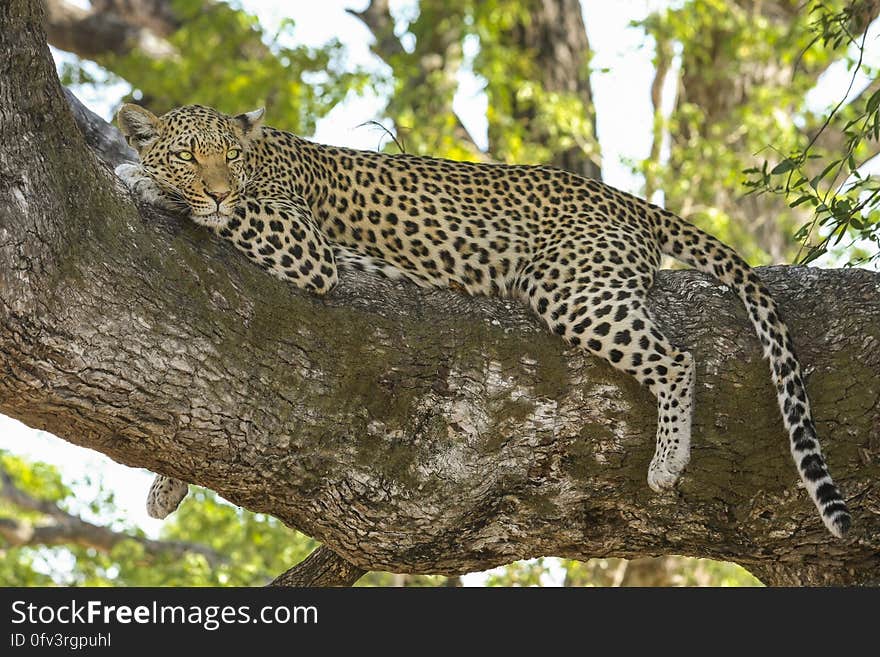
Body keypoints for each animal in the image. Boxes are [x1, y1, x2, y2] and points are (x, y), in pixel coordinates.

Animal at [117, 101, 852, 532]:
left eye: (230, 157)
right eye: (190, 153)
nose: (216, 186)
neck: (264, 155)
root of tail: (624, 199)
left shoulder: (304, 244)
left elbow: (232, 212)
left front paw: (140, 178)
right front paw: (166, 487)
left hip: (571, 287)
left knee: (677, 359)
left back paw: (669, 462)